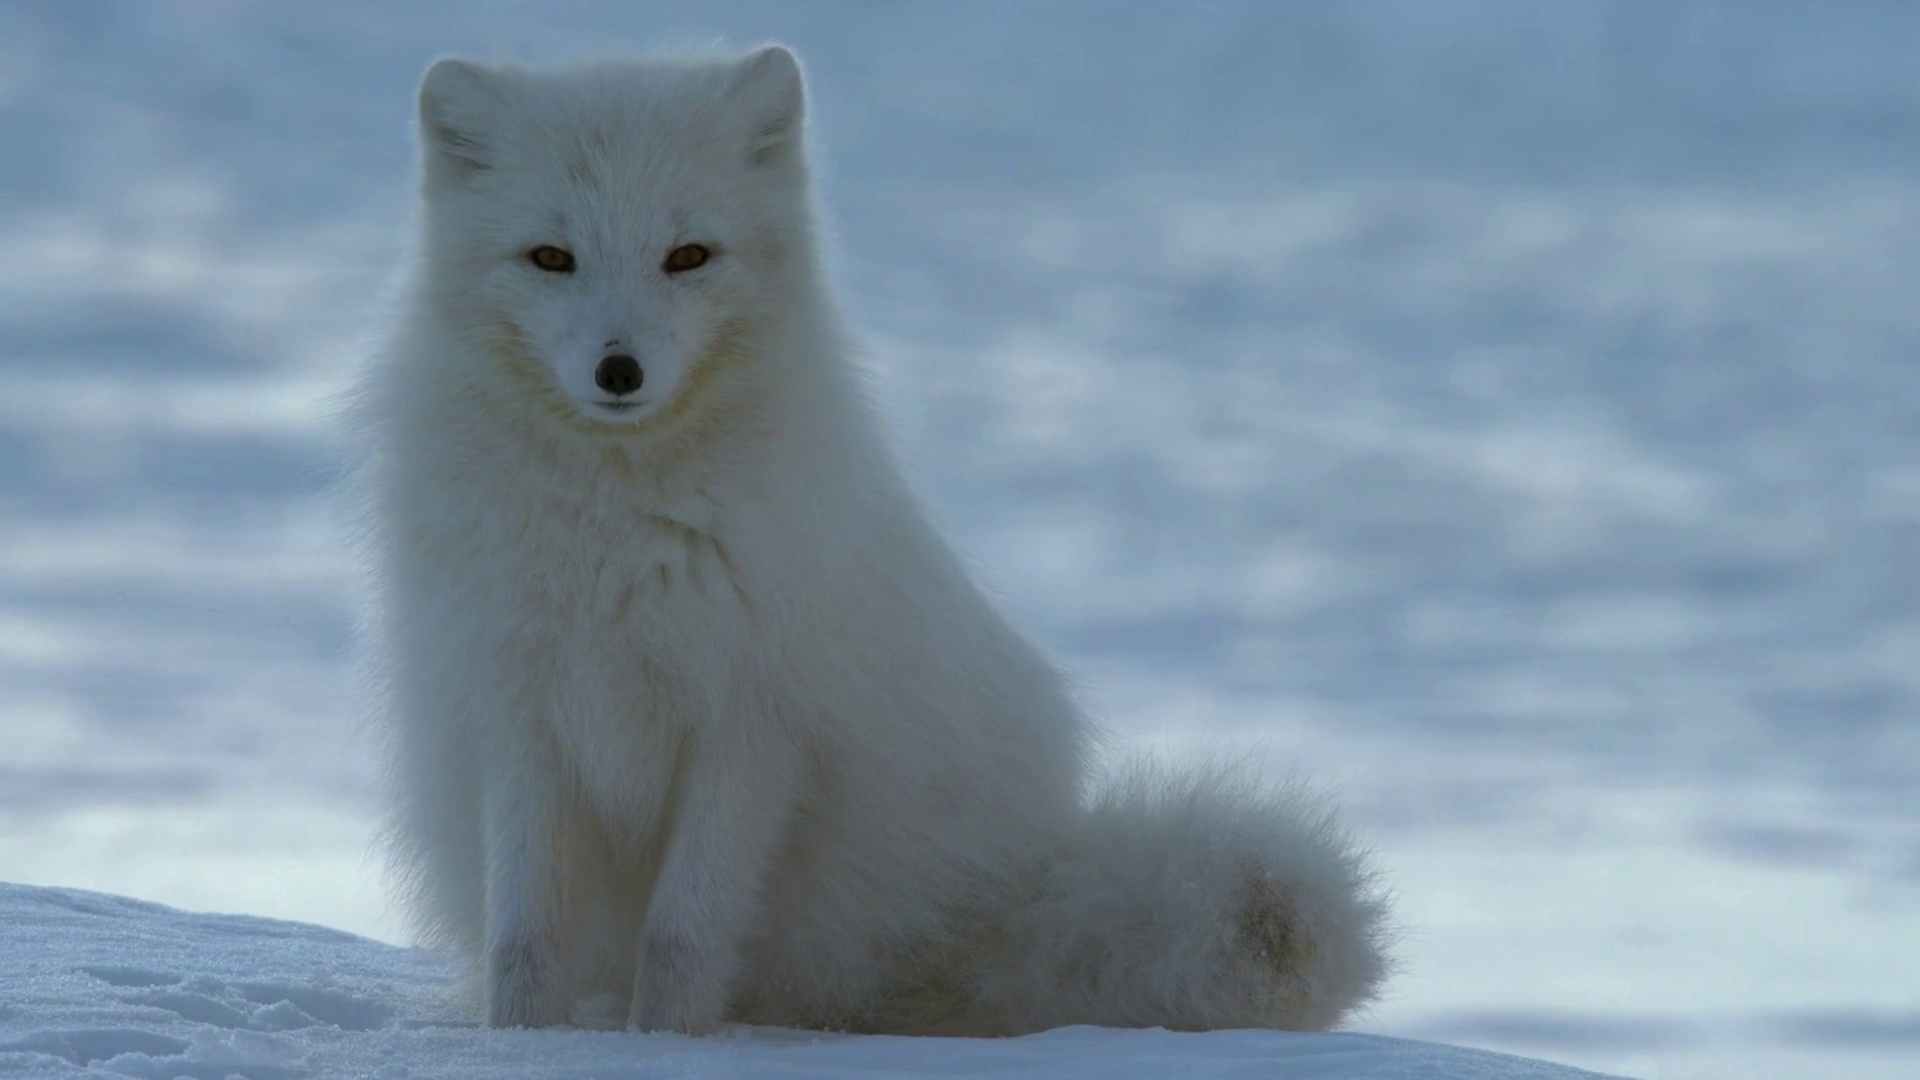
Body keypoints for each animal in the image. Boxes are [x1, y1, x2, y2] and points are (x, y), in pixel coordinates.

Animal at [345, 44, 1390, 1037]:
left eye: (689, 255)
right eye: (550, 258)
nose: (619, 371)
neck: (618, 523)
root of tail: (996, 913)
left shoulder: (751, 726)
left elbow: (683, 935)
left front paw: (663, 1044)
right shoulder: (520, 711)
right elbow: (524, 938)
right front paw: (519, 1043)